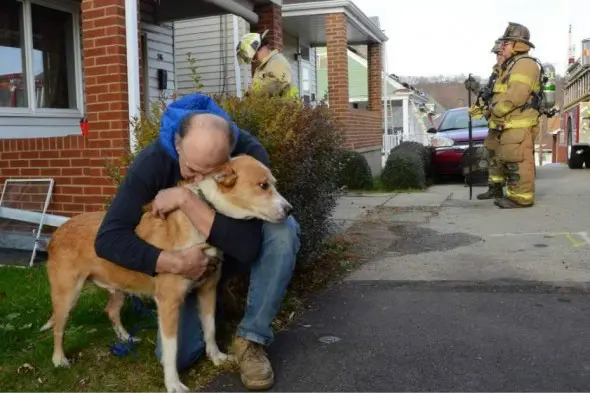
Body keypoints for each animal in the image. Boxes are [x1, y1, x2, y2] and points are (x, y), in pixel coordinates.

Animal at [41, 155, 294, 390]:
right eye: (263, 185)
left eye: (273, 183)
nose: (290, 210)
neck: (203, 215)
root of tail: (58, 230)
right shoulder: (168, 302)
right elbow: (172, 350)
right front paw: (173, 384)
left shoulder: (208, 290)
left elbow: (210, 329)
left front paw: (216, 357)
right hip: (67, 295)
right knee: (58, 328)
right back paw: (59, 360)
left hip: (119, 288)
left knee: (110, 310)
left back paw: (126, 337)